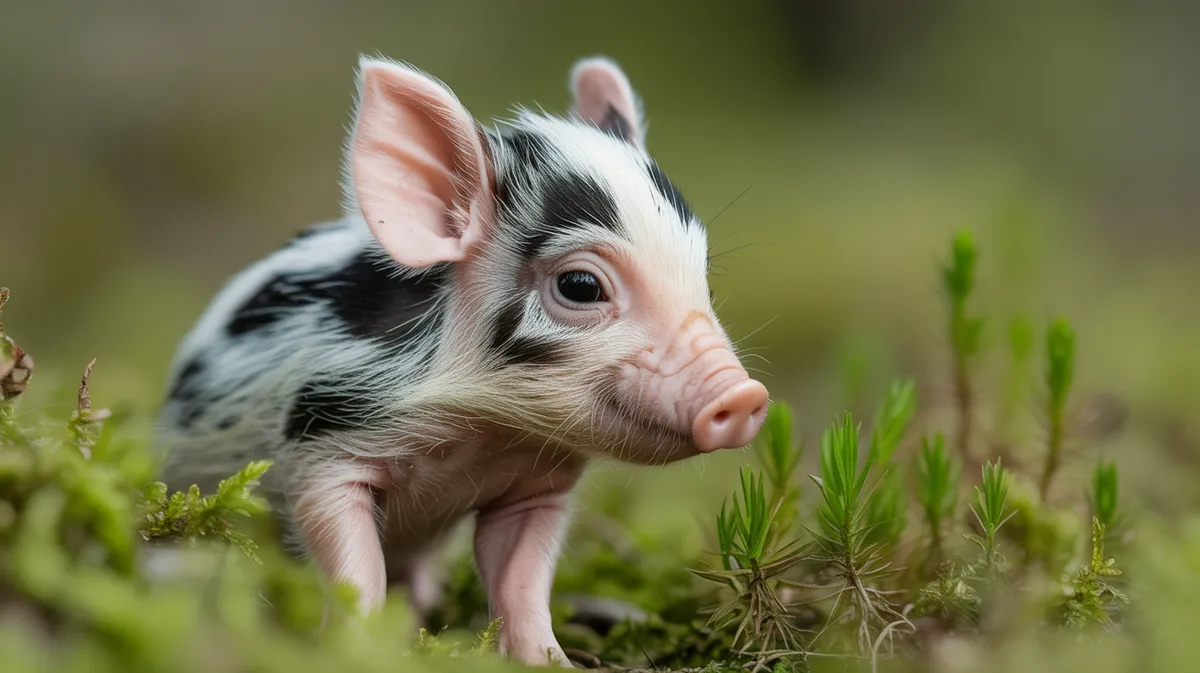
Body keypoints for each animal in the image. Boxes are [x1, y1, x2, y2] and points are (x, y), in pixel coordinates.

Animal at [155, 54, 769, 666]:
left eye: (703, 275)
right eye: (580, 285)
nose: (744, 396)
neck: (479, 436)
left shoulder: (539, 484)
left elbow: (522, 583)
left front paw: (553, 662)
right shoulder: (323, 443)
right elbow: (356, 571)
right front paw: (361, 651)